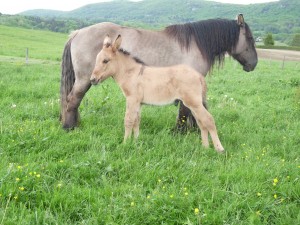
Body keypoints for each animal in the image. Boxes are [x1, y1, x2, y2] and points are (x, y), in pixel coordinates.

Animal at [61, 13, 258, 130]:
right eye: (250, 38)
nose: (254, 64)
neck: (196, 45)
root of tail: (77, 33)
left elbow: (194, 108)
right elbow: (186, 110)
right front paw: (180, 132)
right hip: (85, 79)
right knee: (72, 100)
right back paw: (69, 127)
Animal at [90, 34, 224, 152]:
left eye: (105, 61)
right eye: (96, 60)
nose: (92, 80)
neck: (132, 73)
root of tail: (198, 75)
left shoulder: (131, 99)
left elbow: (128, 120)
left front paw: (125, 143)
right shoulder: (138, 103)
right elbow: (136, 121)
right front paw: (136, 141)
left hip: (194, 103)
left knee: (209, 120)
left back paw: (219, 149)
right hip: (193, 104)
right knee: (202, 122)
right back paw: (205, 147)